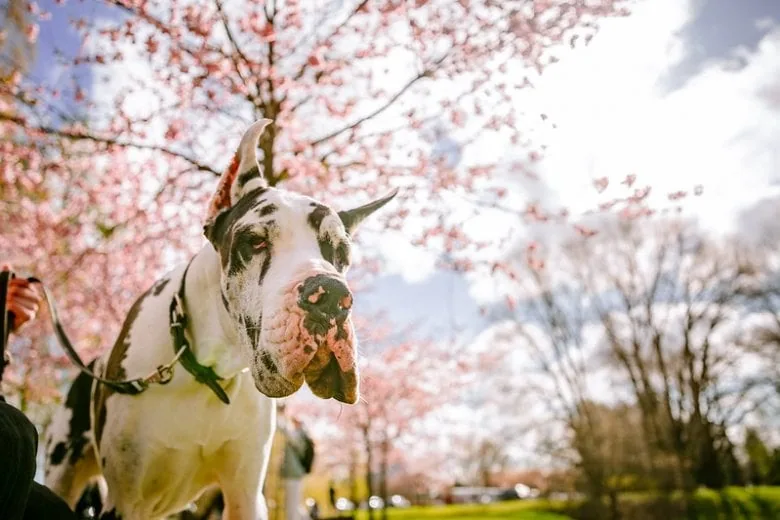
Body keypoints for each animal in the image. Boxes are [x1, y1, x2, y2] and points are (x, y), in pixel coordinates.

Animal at [43, 121, 396, 520]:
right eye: (255, 241)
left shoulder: (246, 495)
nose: (332, 296)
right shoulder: (124, 501)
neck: (208, 370)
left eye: (341, 254)